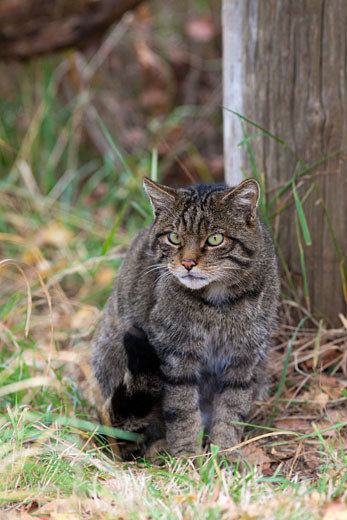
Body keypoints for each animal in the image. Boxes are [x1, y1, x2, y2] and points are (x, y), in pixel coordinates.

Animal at [92, 177, 280, 462]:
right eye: (174, 238)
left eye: (215, 239)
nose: (188, 263)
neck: (217, 304)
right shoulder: (176, 356)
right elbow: (182, 413)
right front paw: (187, 457)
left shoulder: (244, 359)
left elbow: (231, 411)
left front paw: (226, 455)